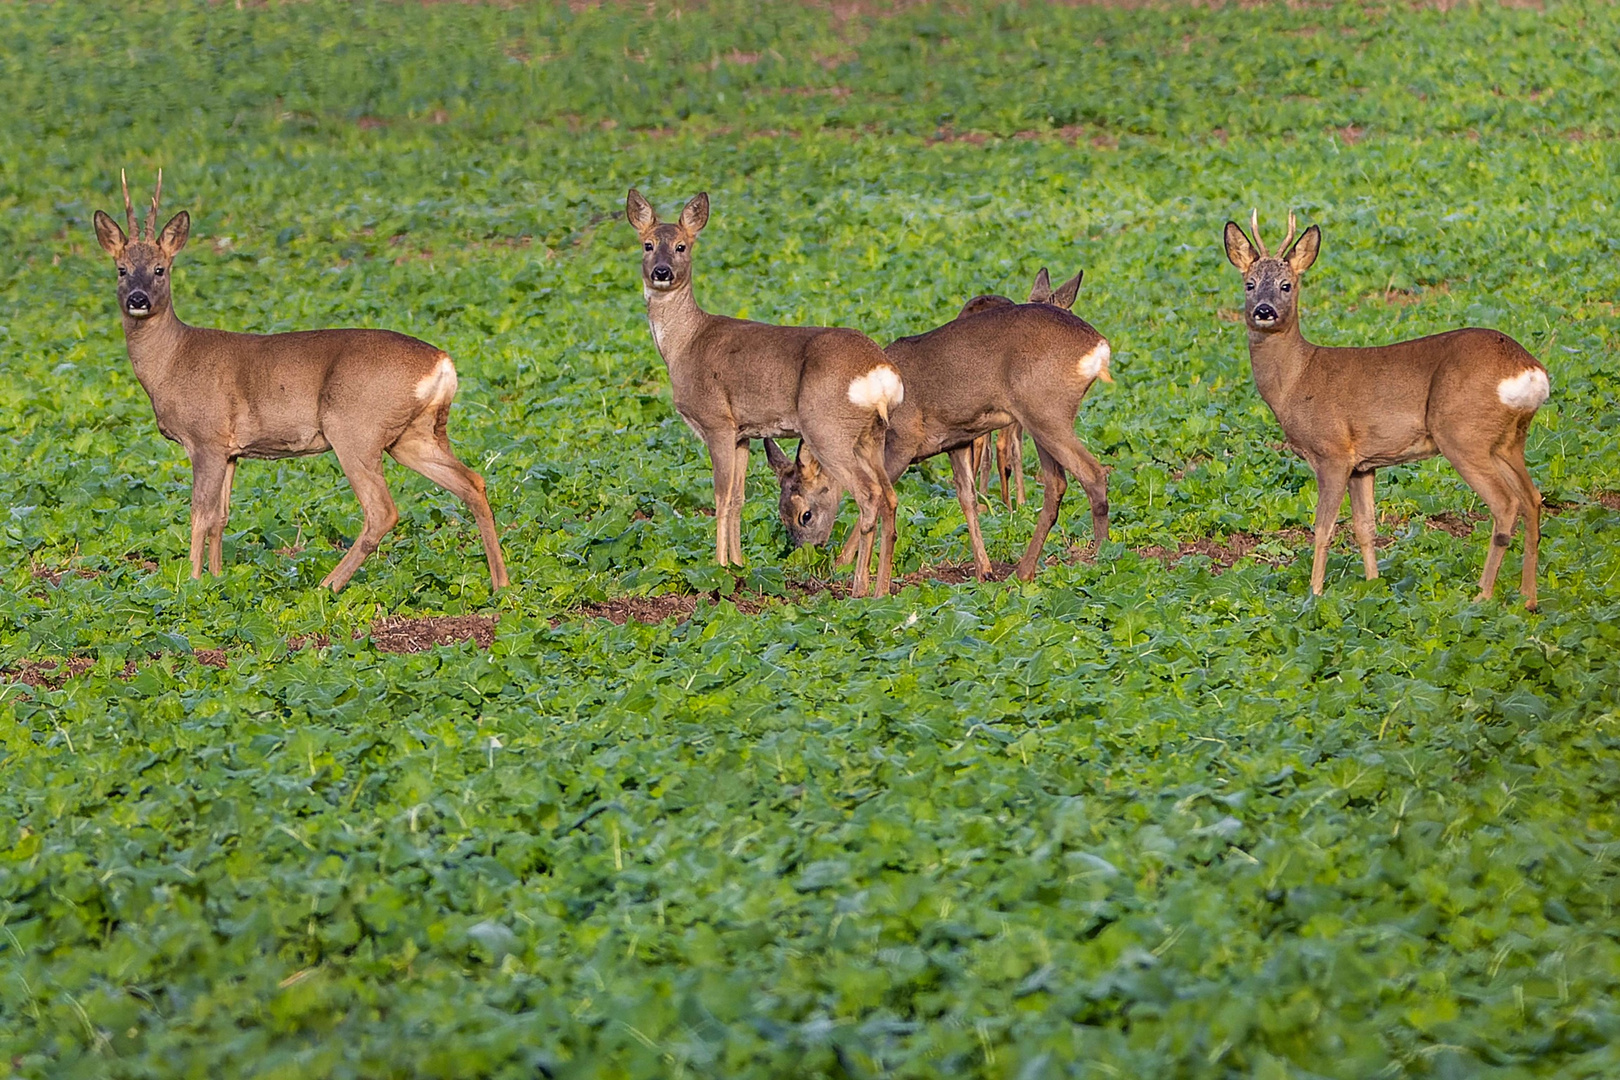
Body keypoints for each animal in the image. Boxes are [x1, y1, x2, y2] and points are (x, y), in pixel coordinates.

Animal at [91, 170, 508, 592]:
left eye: (160, 269)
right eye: (121, 269)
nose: (138, 299)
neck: (172, 361)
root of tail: (443, 363)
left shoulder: (206, 438)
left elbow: (199, 515)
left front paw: (190, 585)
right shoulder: (231, 451)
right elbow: (221, 517)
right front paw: (217, 579)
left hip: (355, 428)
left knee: (383, 510)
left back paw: (327, 585)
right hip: (415, 434)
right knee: (473, 482)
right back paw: (501, 584)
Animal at [622, 194, 907, 599]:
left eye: (681, 246)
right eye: (647, 245)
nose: (662, 272)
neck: (684, 345)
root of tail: (880, 373)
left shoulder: (717, 422)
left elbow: (720, 497)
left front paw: (718, 569)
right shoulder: (744, 433)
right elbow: (739, 498)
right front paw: (739, 566)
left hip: (827, 429)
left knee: (869, 495)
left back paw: (858, 588)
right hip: (871, 435)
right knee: (890, 495)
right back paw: (881, 588)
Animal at [764, 265, 1108, 579]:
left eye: (805, 515)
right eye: (781, 516)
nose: (808, 553)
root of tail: (1099, 347)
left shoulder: (902, 442)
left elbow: (879, 497)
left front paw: (842, 565)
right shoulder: (958, 439)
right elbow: (968, 500)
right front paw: (984, 570)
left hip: (1046, 412)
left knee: (1093, 473)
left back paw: (1102, 557)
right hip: (1040, 419)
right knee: (1056, 484)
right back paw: (1024, 571)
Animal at [1218, 212, 1548, 612]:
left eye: (1286, 285)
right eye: (1249, 284)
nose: (1263, 311)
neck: (1296, 380)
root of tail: (1529, 370)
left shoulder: (1332, 452)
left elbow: (1323, 528)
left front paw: (1314, 595)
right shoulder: (1364, 464)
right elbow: (1365, 527)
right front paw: (1374, 584)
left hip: (1461, 433)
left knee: (1506, 504)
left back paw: (1482, 595)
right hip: (1507, 441)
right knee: (1532, 499)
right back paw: (1528, 598)